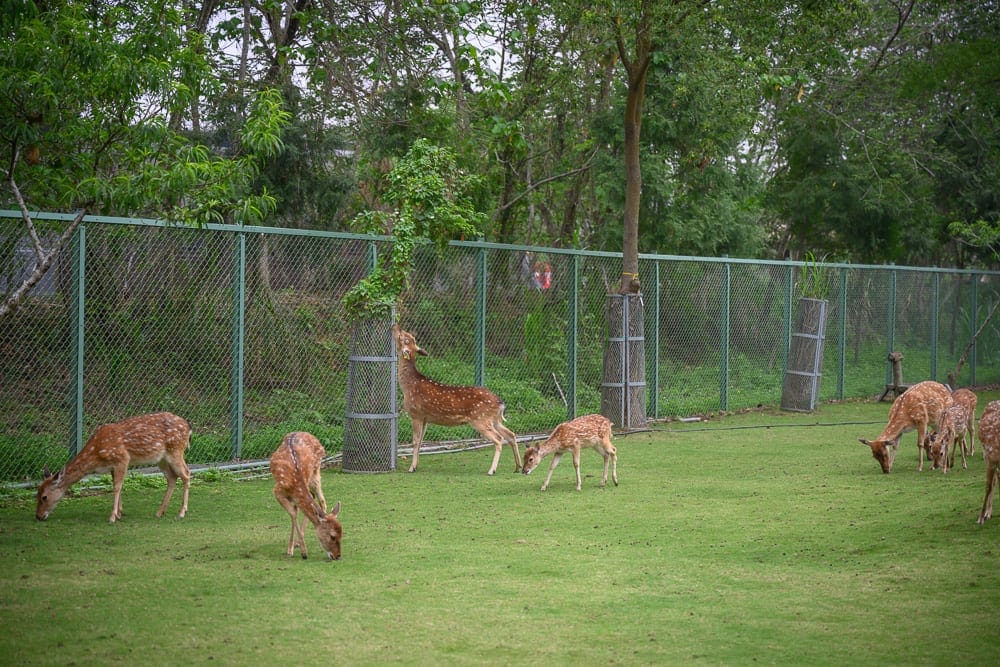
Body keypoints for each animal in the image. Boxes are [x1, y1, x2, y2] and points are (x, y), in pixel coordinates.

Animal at [35, 412, 191, 523]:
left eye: (44, 497)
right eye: (36, 493)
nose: (38, 516)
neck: (96, 454)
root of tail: (188, 428)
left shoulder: (122, 458)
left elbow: (116, 487)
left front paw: (112, 516)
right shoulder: (112, 466)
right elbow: (117, 486)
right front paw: (119, 513)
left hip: (175, 450)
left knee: (186, 473)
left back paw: (181, 512)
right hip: (162, 458)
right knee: (172, 477)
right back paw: (160, 512)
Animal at [269, 432, 342, 560]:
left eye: (342, 534)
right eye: (332, 536)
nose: (338, 556)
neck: (294, 484)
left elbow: (296, 512)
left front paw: (300, 549)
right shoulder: (277, 491)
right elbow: (293, 513)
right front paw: (295, 551)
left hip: (315, 473)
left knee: (321, 500)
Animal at [392, 324, 520, 475]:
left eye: (403, 336)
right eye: (409, 337)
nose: (395, 325)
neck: (408, 386)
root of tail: (501, 403)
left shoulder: (416, 413)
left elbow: (415, 441)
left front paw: (411, 468)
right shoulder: (425, 418)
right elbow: (421, 441)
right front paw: (416, 465)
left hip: (480, 419)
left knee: (499, 439)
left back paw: (492, 470)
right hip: (494, 419)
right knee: (511, 434)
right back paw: (518, 467)